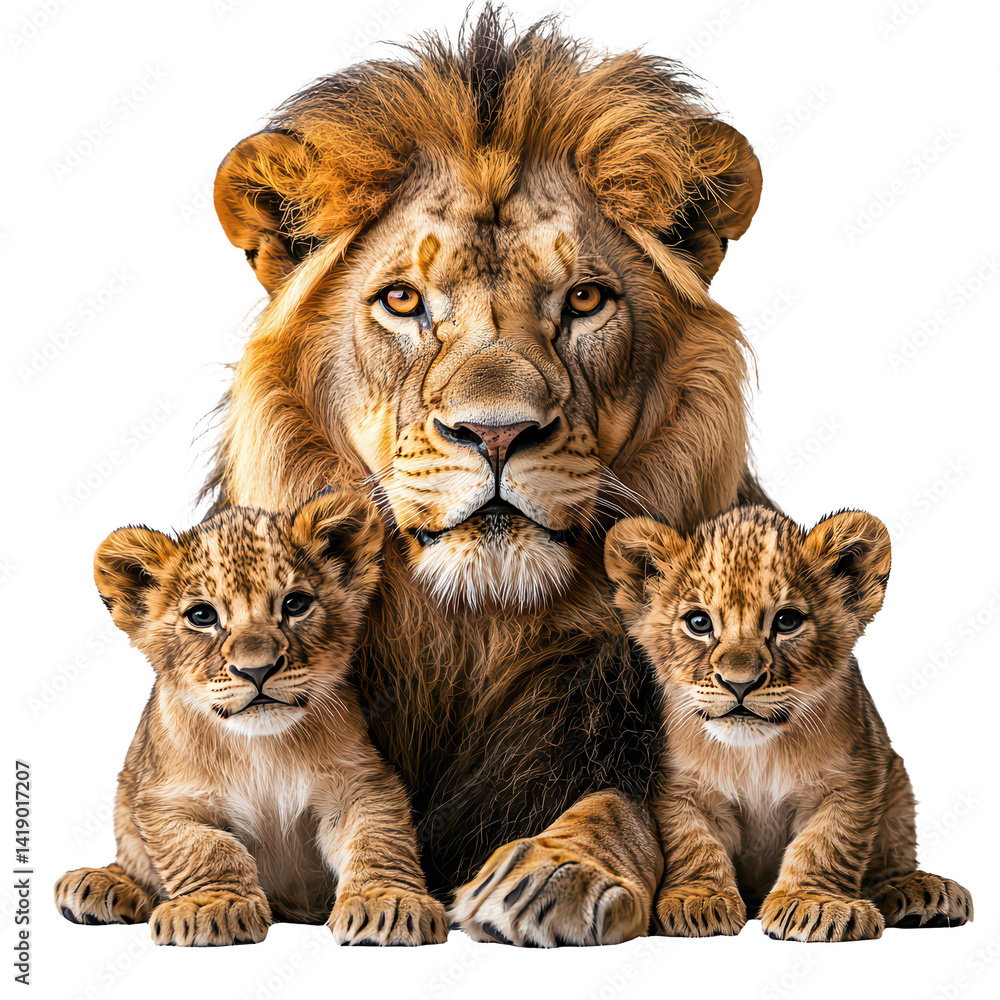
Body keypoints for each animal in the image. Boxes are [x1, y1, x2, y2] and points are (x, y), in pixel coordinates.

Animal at [54, 494, 447, 946]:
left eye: (295, 604)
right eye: (202, 616)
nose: (257, 670)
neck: (263, 747)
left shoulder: (359, 781)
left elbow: (378, 837)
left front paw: (388, 902)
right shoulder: (167, 800)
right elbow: (206, 849)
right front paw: (213, 907)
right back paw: (99, 883)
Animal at [204, 8, 768, 945]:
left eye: (585, 300)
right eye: (402, 301)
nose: (496, 433)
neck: (472, 635)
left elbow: (632, 805)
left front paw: (556, 873)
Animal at [605, 506, 973, 941]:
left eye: (786, 621)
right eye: (698, 622)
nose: (739, 683)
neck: (755, 753)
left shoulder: (854, 778)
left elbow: (826, 844)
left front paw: (812, 903)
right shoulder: (678, 788)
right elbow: (694, 843)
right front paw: (698, 900)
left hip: (897, 781)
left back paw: (919, 890)